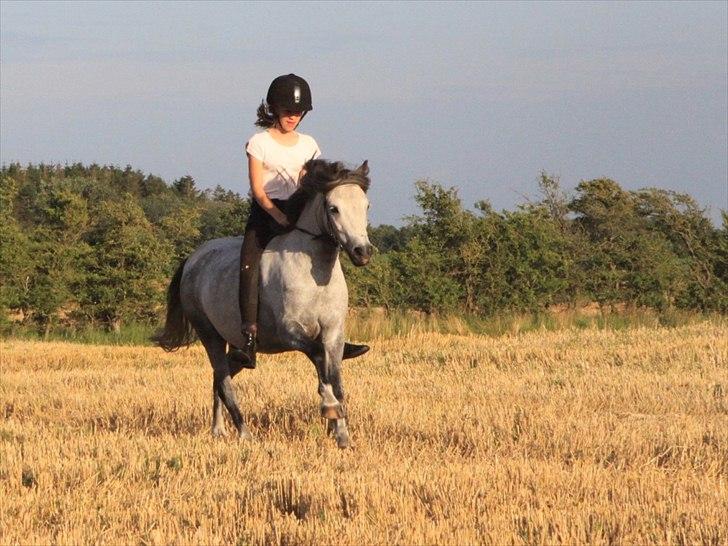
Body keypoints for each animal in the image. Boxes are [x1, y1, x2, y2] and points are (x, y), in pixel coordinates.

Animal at [155, 159, 372, 448]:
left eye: (366, 205)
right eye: (333, 208)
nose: (363, 252)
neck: (315, 273)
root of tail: (193, 258)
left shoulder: (333, 334)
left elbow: (335, 378)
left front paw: (342, 435)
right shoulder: (289, 330)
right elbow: (318, 358)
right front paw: (329, 407)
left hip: (234, 343)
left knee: (220, 376)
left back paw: (218, 430)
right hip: (209, 333)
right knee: (223, 380)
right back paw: (244, 433)